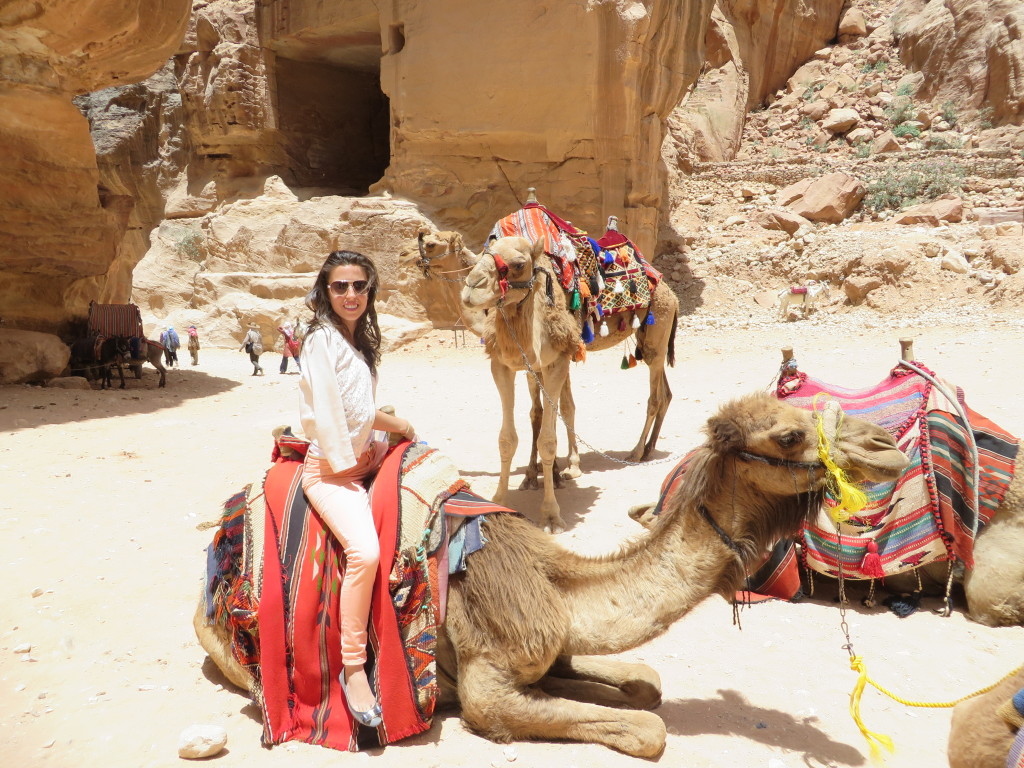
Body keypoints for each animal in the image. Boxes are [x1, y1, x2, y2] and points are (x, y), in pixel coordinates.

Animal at [195, 397, 909, 757]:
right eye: (789, 435)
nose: (888, 448)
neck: (561, 589)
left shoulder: (554, 646)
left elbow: (644, 685)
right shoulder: (488, 687)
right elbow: (647, 730)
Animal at [460, 237, 675, 532]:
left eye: (519, 264)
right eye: (480, 255)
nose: (472, 286)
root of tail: (670, 292)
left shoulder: (556, 363)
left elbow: (548, 438)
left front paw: (551, 514)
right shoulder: (505, 365)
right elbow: (510, 436)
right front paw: (501, 501)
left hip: (657, 332)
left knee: (654, 396)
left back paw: (636, 452)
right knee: (666, 393)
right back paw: (650, 448)